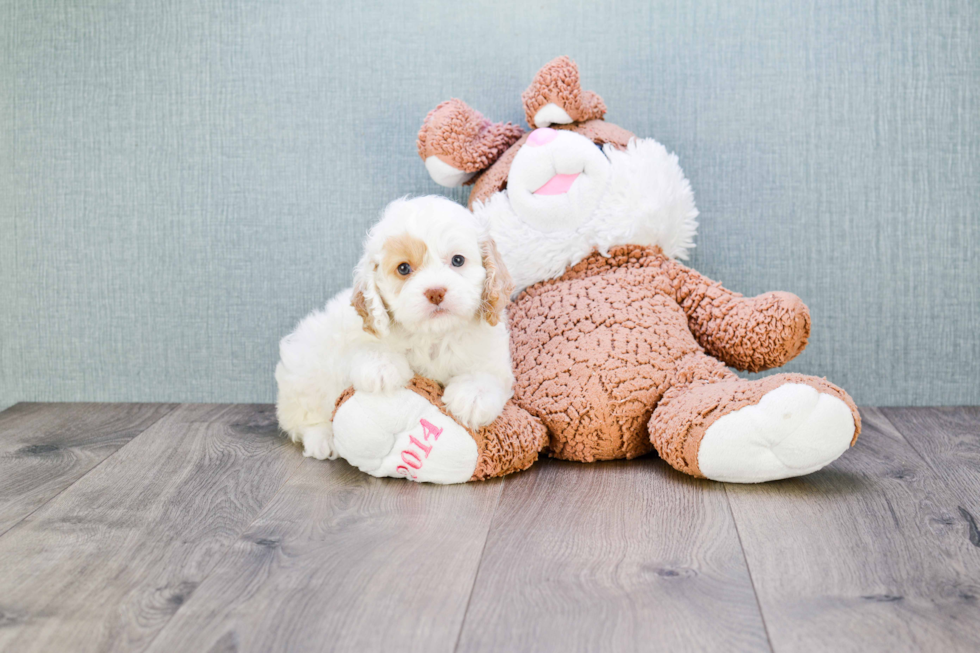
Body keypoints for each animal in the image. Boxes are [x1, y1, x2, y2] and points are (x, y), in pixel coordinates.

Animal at [272, 194, 516, 458]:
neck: (435, 336)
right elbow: (362, 348)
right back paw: (322, 438)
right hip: (305, 368)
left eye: (458, 260)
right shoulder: (351, 333)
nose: (436, 292)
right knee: (301, 417)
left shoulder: (492, 356)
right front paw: (382, 367)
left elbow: (487, 375)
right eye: (403, 268)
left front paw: (472, 397)